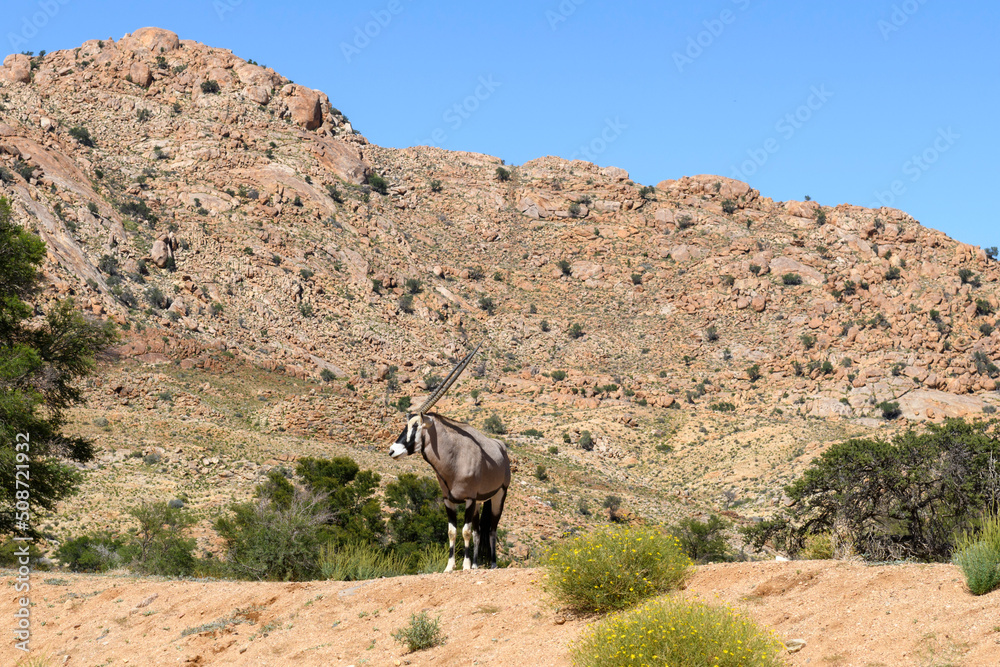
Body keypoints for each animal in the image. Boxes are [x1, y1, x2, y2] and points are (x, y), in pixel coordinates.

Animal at [389, 343, 511, 570]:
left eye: (416, 426)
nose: (393, 451)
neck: (454, 458)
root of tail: (502, 449)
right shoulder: (449, 500)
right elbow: (452, 531)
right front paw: (450, 567)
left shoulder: (469, 499)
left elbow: (465, 531)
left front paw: (464, 566)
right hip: (480, 502)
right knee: (480, 531)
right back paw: (476, 565)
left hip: (499, 495)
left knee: (492, 529)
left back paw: (492, 564)